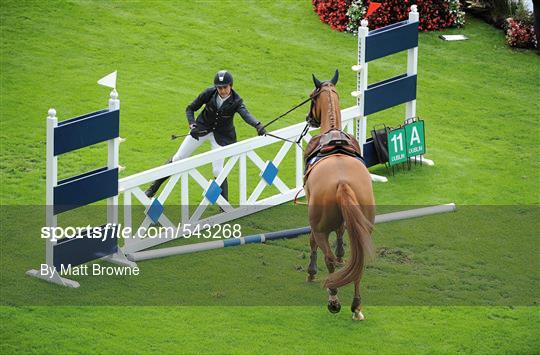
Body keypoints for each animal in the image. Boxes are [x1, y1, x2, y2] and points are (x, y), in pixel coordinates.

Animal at [304, 71, 376, 322]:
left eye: (311, 97)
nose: (309, 118)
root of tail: (343, 183)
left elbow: (315, 243)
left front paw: (312, 272)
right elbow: (342, 241)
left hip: (320, 226)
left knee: (327, 258)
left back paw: (333, 299)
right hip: (363, 226)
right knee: (358, 261)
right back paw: (356, 306)